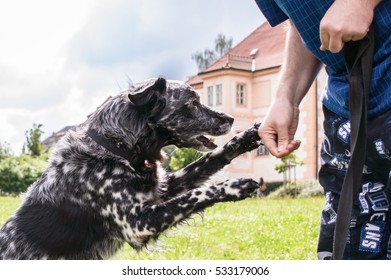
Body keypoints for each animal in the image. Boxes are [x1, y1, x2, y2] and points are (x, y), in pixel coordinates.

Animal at [1, 77, 264, 260]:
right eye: (193, 103)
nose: (230, 119)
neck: (115, 149)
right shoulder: (138, 223)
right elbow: (198, 194)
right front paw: (234, 186)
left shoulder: (161, 189)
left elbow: (211, 160)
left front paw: (245, 138)